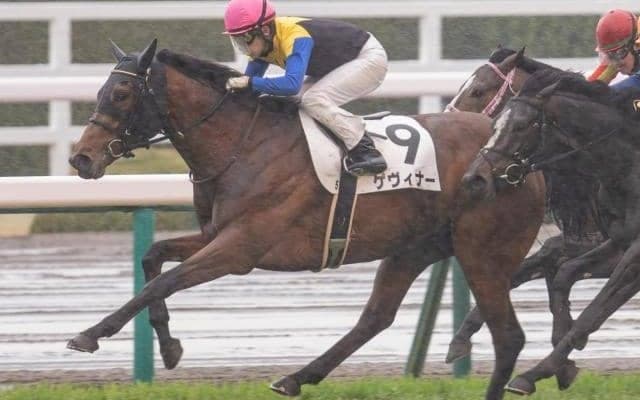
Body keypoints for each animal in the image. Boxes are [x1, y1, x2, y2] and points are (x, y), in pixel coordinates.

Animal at [66, 39, 545, 400]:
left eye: (121, 94)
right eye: (101, 91)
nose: (80, 158)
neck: (245, 144)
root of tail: (525, 161)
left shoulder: (240, 248)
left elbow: (164, 281)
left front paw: (90, 333)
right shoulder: (215, 233)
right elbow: (153, 257)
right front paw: (168, 347)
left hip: (482, 252)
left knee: (509, 336)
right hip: (414, 247)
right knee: (376, 317)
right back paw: (296, 377)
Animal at [460, 67, 640, 395]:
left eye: (521, 126)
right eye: (496, 124)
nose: (473, 178)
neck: (629, 167)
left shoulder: (632, 251)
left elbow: (594, 309)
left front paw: (535, 371)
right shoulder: (618, 240)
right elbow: (563, 273)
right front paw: (559, 363)